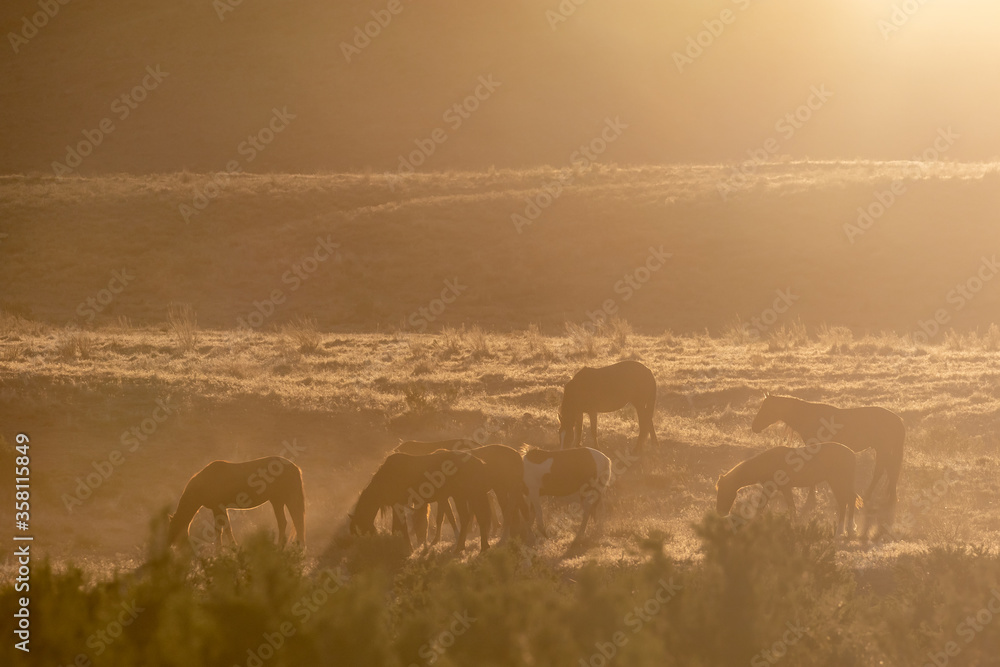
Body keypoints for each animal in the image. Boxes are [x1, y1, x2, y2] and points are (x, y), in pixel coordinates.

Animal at [350, 452, 494, 556]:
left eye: (358, 528)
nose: (364, 548)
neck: (387, 477)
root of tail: (479, 463)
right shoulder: (397, 505)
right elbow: (398, 527)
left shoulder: (398, 504)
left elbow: (402, 527)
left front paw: (408, 549)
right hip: (464, 496)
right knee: (472, 519)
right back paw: (471, 547)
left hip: (466, 496)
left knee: (475, 518)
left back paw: (473, 547)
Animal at [716, 444, 864, 536]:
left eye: (723, 492)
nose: (720, 513)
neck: (768, 462)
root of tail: (852, 454)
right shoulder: (777, 488)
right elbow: (787, 507)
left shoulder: (778, 488)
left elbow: (781, 508)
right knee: (850, 500)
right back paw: (850, 529)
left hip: (837, 482)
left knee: (843, 503)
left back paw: (840, 531)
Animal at [752, 392, 908, 528]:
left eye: (765, 409)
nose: (754, 427)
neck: (809, 417)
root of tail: (898, 420)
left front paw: (812, 496)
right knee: (885, 470)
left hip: (883, 449)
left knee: (885, 470)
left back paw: (878, 497)